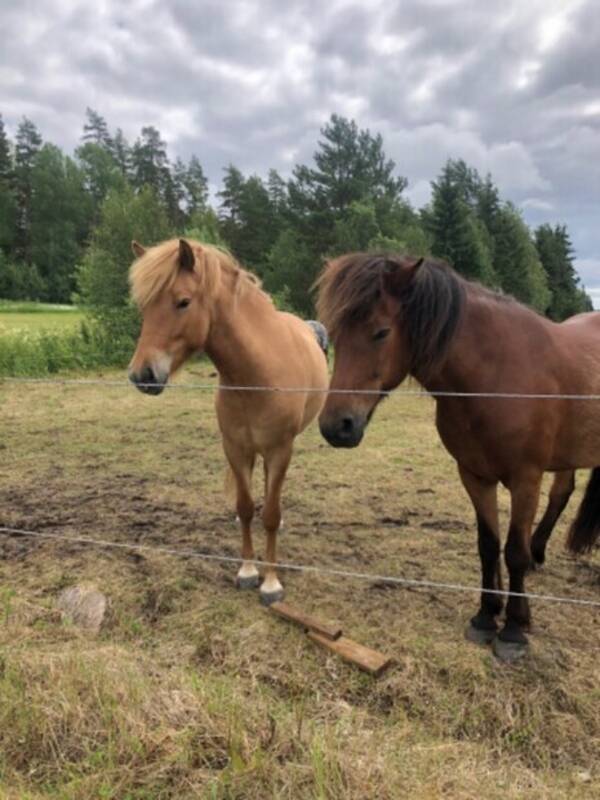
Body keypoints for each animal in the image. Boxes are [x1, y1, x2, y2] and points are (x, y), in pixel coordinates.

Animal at [126, 241, 328, 604]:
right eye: (145, 306)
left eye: (183, 302)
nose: (142, 375)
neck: (257, 375)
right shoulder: (234, 448)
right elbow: (246, 507)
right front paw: (247, 571)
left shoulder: (279, 450)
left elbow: (270, 514)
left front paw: (271, 583)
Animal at [316, 256, 596, 664]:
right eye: (335, 333)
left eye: (381, 332)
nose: (337, 426)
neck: (496, 376)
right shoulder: (475, 476)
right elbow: (488, 546)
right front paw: (486, 616)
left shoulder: (526, 479)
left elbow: (513, 551)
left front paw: (513, 630)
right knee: (562, 494)